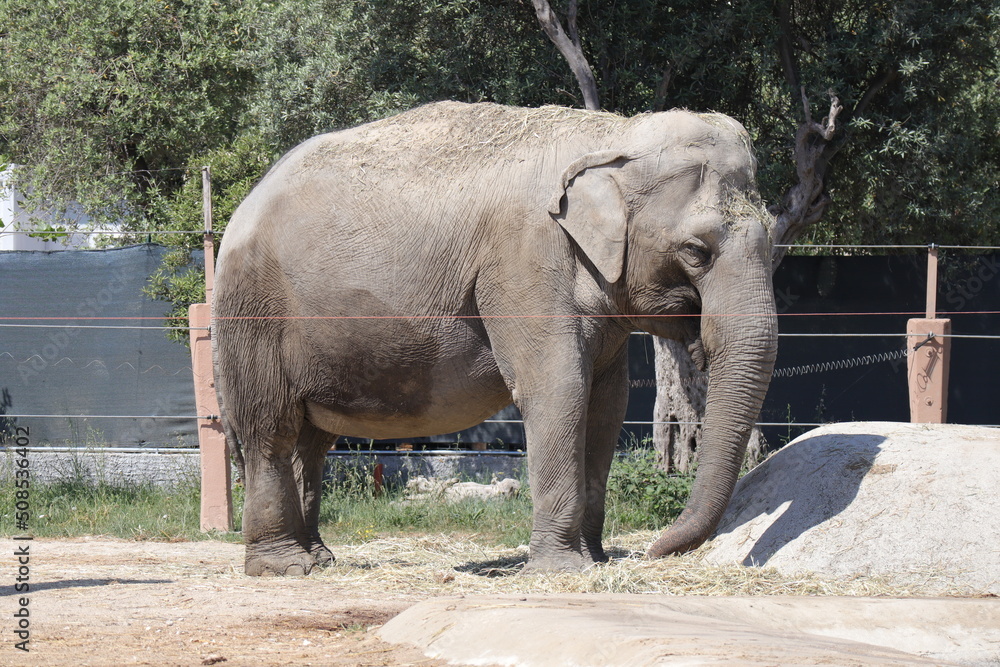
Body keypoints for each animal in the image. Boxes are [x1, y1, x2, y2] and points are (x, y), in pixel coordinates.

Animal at [213, 101, 778, 576]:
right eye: (696, 251)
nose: (654, 549)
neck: (611, 134)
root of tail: (246, 202)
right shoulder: (523, 263)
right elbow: (558, 390)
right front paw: (562, 572)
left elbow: (607, 405)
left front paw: (594, 562)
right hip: (255, 311)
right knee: (271, 427)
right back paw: (285, 568)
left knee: (312, 439)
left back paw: (321, 559)